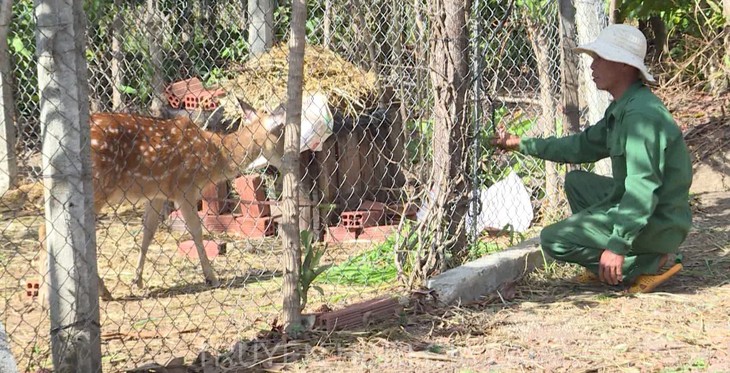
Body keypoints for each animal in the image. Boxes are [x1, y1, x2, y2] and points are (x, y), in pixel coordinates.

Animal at [38, 106, 284, 298]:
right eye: (281, 134)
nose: (285, 159)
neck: (216, 156)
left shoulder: (157, 194)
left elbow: (148, 232)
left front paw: (137, 280)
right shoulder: (184, 188)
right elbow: (196, 231)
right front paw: (211, 277)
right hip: (98, 185)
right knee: (50, 228)